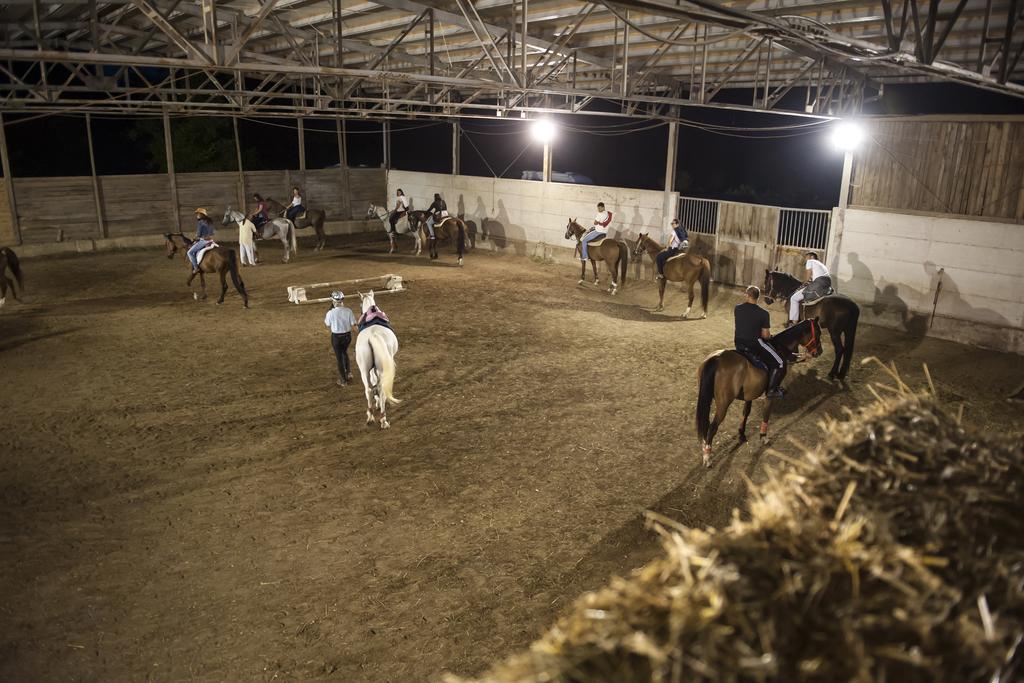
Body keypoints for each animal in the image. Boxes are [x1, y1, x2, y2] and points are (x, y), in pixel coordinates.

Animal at [358, 290, 401, 430]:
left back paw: (370, 417)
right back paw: (383, 419)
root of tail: (373, 335)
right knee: (381, 389)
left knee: (368, 389)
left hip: (363, 369)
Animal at [692, 317, 819, 466]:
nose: (819, 352)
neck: (779, 348)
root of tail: (716, 358)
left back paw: (704, 449)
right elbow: (766, 413)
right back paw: (707, 457)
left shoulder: (749, 394)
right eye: (818, 332)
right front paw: (763, 436)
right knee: (712, 427)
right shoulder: (770, 393)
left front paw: (741, 434)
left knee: (705, 424)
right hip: (723, 404)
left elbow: (745, 413)